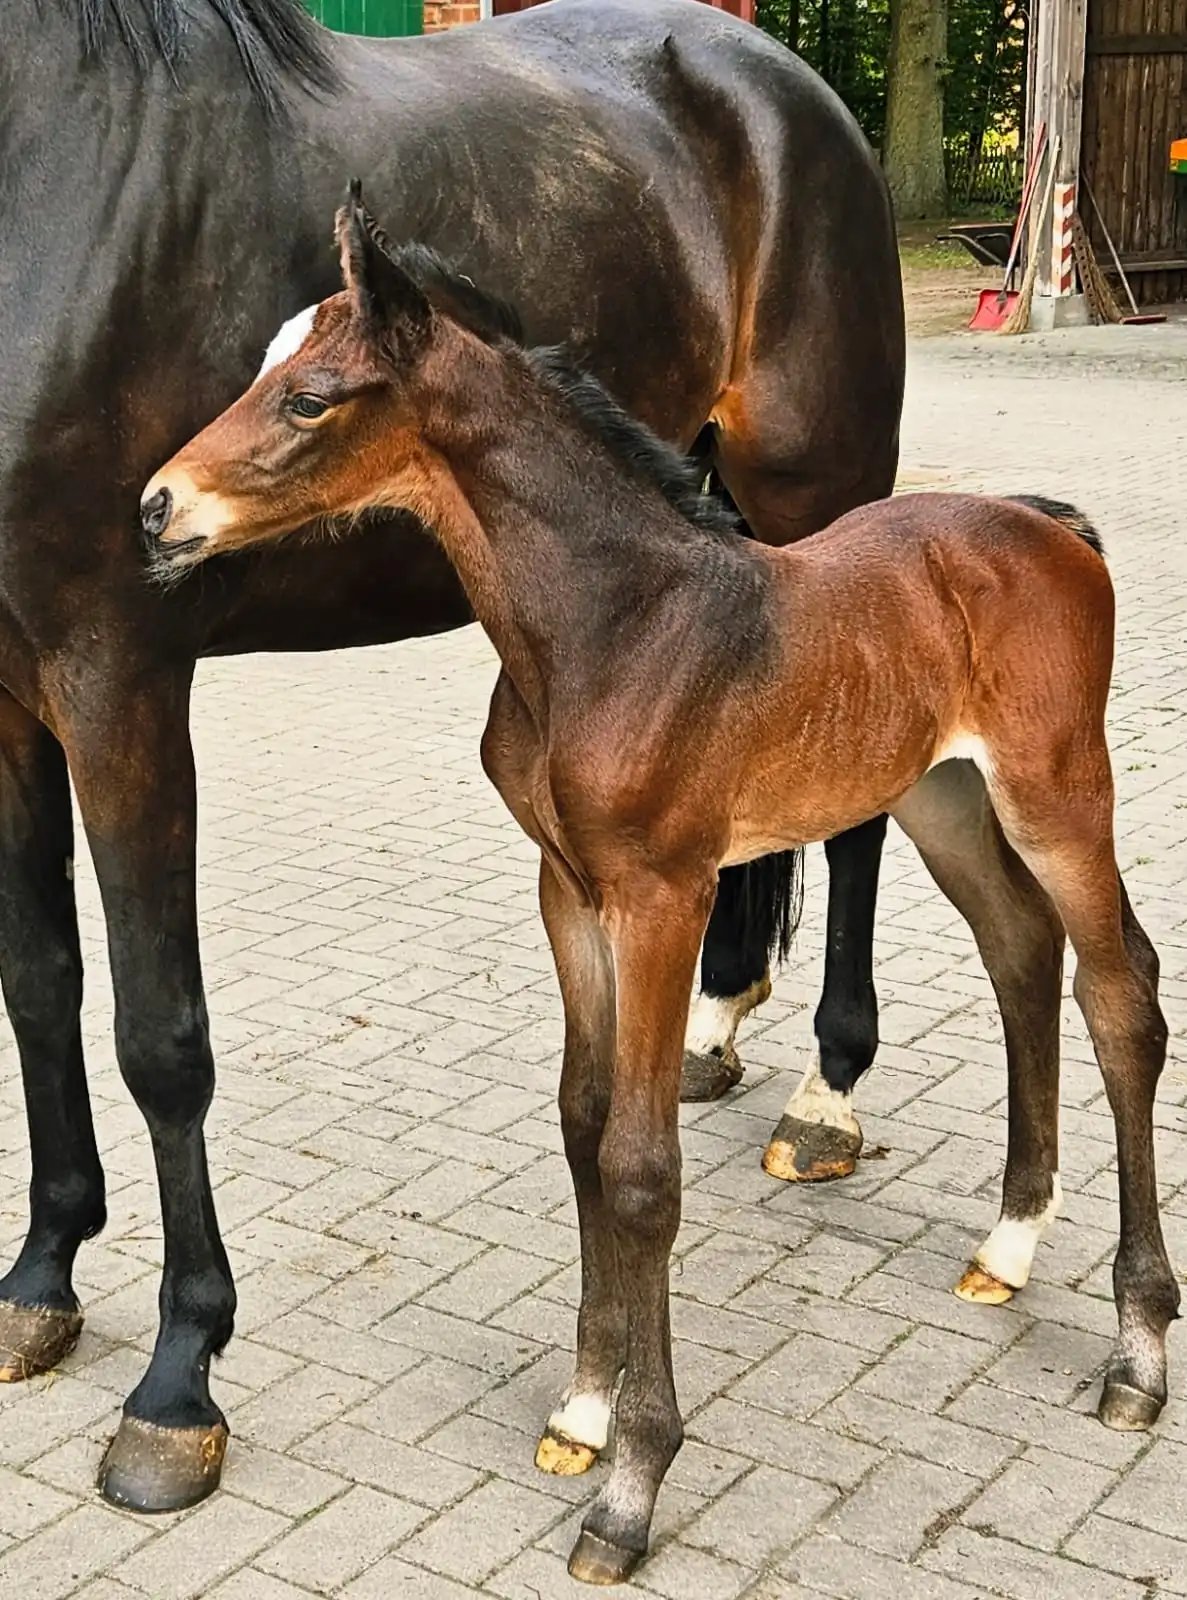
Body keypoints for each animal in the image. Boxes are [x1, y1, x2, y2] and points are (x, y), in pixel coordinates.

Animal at [1, 0, 904, 1512]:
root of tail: (773, 75)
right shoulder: (7, 684)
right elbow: (40, 985)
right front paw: (38, 1281)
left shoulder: (118, 671)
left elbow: (158, 1034)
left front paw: (178, 1385)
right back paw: (714, 1025)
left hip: (819, 494)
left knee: (859, 815)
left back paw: (827, 1097)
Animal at [143, 189, 1179, 1584]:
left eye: (310, 396)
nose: (156, 509)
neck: (606, 624)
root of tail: (1049, 525)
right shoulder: (567, 889)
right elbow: (583, 1124)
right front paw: (582, 1407)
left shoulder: (664, 895)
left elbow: (643, 1165)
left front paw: (631, 1485)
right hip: (944, 799)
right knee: (1022, 953)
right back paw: (1006, 1246)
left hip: (1057, 791)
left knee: (1122, 994)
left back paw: (1135, 1353)